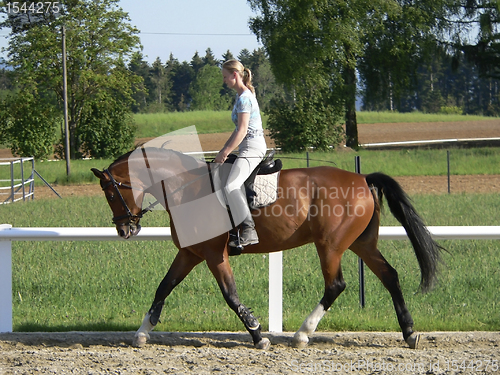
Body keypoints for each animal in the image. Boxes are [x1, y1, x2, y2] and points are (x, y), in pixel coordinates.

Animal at [90, 146, 442, 350]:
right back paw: (409, 333)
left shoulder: (214, 254)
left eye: (110, 192)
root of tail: (361, 179)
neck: (185, 189)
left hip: (330, 245)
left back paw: (302, 335)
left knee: (336, 285)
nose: (125, 229)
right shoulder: (190, 253)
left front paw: (258, 334)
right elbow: (163, 287)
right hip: (360, 243)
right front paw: (142, 332)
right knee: (390, 275)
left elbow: (230, 296)